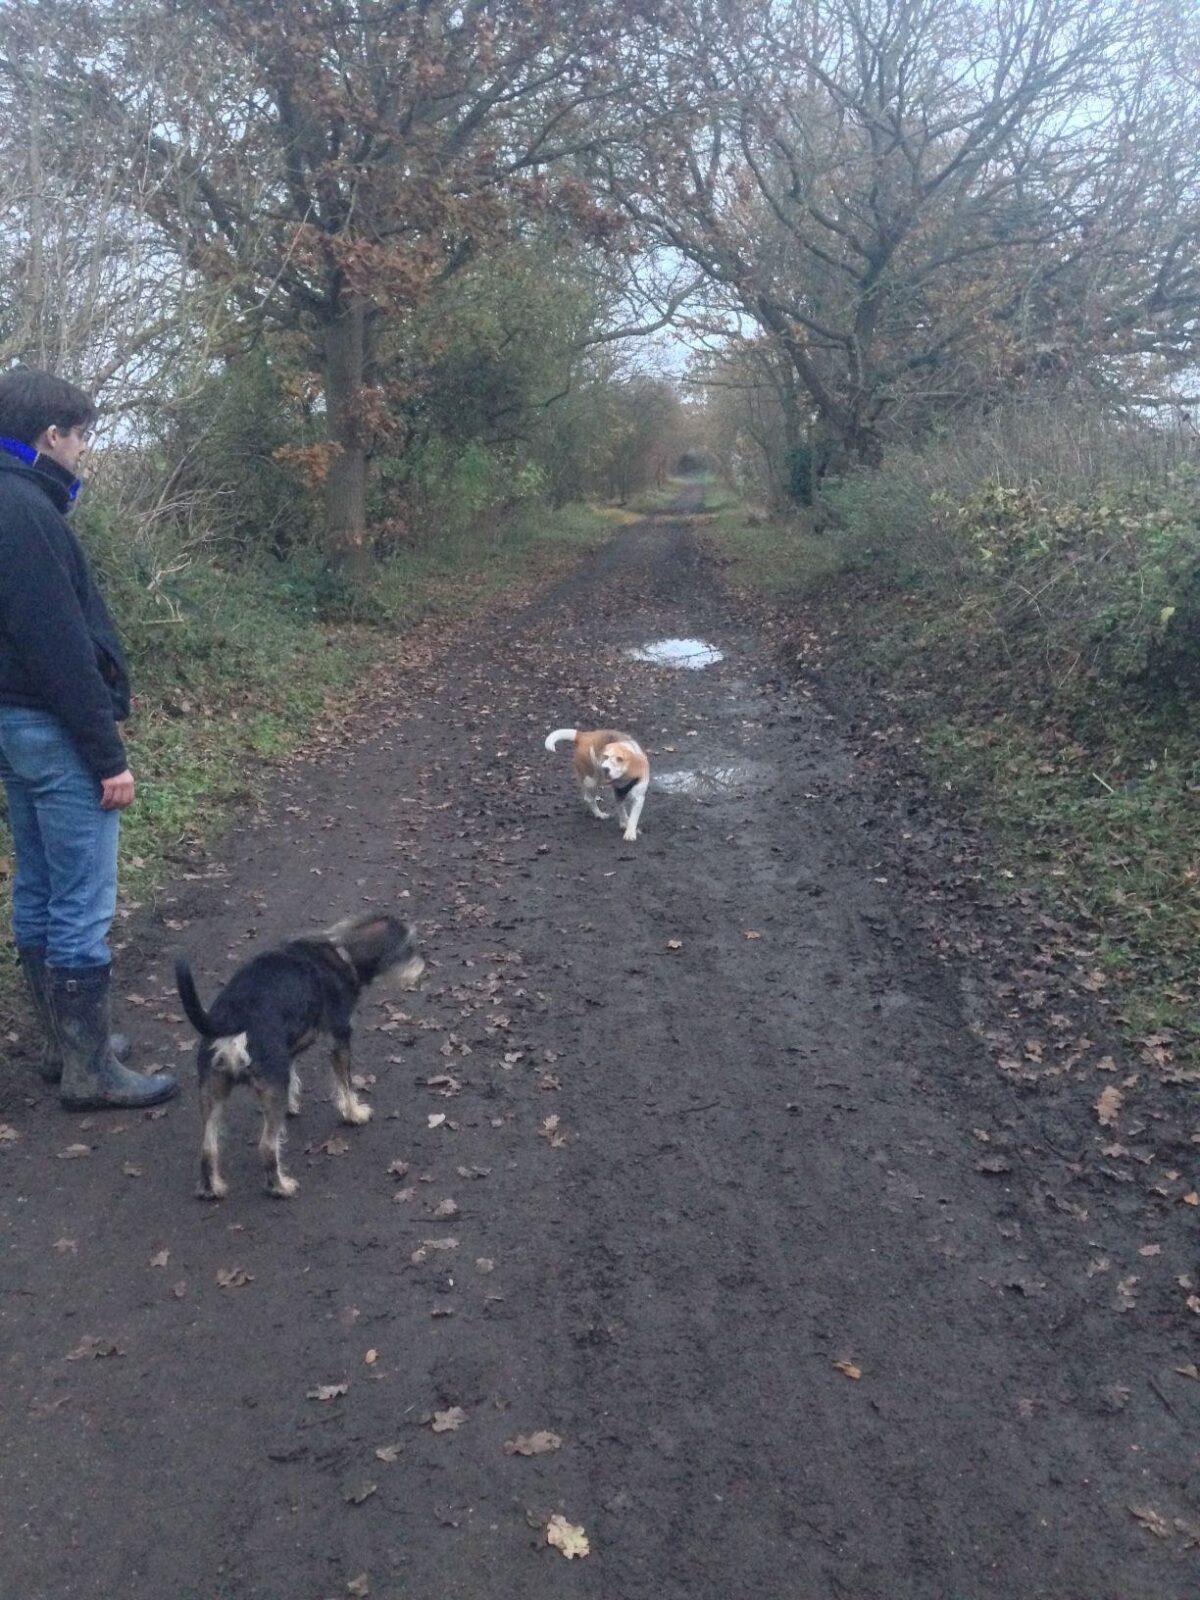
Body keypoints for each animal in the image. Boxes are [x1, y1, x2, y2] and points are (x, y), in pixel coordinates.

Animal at [173, 915, 425, 1203]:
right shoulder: (339, 1040)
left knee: (208, 1146)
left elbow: (293, 1078)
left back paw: (212, 1188)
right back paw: (280, 1187)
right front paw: (355, 1113)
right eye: (409, 946)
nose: (422, 965)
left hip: (212, 1092)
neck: (342, 952)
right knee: (267, 1147)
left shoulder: (290, 1052)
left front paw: (293, 1105)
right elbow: (346, 1085)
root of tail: (231, 1020)